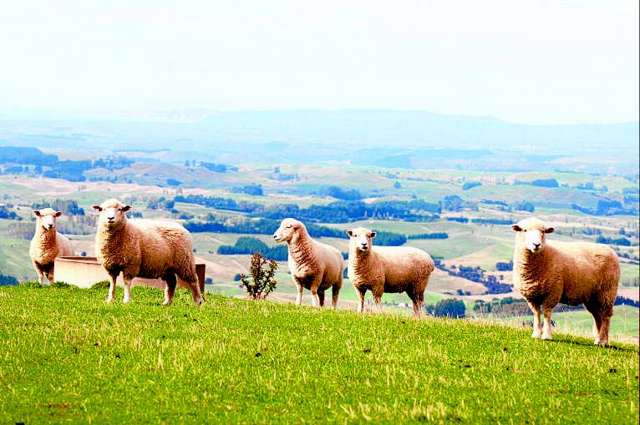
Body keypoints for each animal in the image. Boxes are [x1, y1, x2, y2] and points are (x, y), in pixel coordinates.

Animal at [510, 215, 620, 344]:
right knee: (598, 316)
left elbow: (547, 313)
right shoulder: (532, 296)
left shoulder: (552, 292)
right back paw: (598, 340)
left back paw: (603, 341)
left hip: (607, 292)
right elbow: (536, 314)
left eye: (543, 232)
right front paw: (536, 334)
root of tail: (610, 250)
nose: (536, 244)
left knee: (606, 316)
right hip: (593, 296)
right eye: (525, 230)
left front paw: (547, 336)